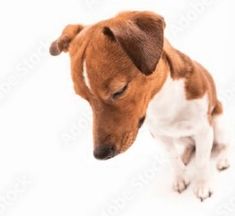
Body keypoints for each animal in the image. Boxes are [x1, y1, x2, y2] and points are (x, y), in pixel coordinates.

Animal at [49, 11, 229, 201]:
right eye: (83, 98)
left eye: (119, 91)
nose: (100, 154)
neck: (162, 102)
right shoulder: (160, 135)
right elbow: (172, 157)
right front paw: (181, 176)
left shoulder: (204, 131)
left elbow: (202, 161)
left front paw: (202, 185)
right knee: (189, 146)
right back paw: (186, 156)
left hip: (219, 124)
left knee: (224, 145)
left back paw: (223, 160)